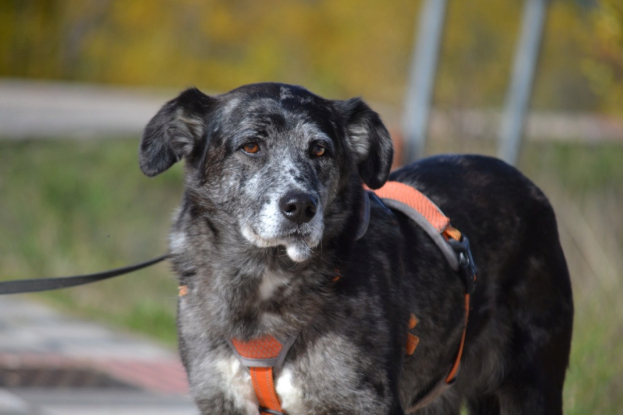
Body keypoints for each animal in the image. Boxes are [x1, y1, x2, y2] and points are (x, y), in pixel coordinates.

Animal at [139, 83, 573, 415]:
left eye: (320, 150)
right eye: (251, 146)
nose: (301, 207)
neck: (264, 281)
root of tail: (526, 184)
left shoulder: (360, 402)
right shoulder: (222, 398)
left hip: (532, 385)